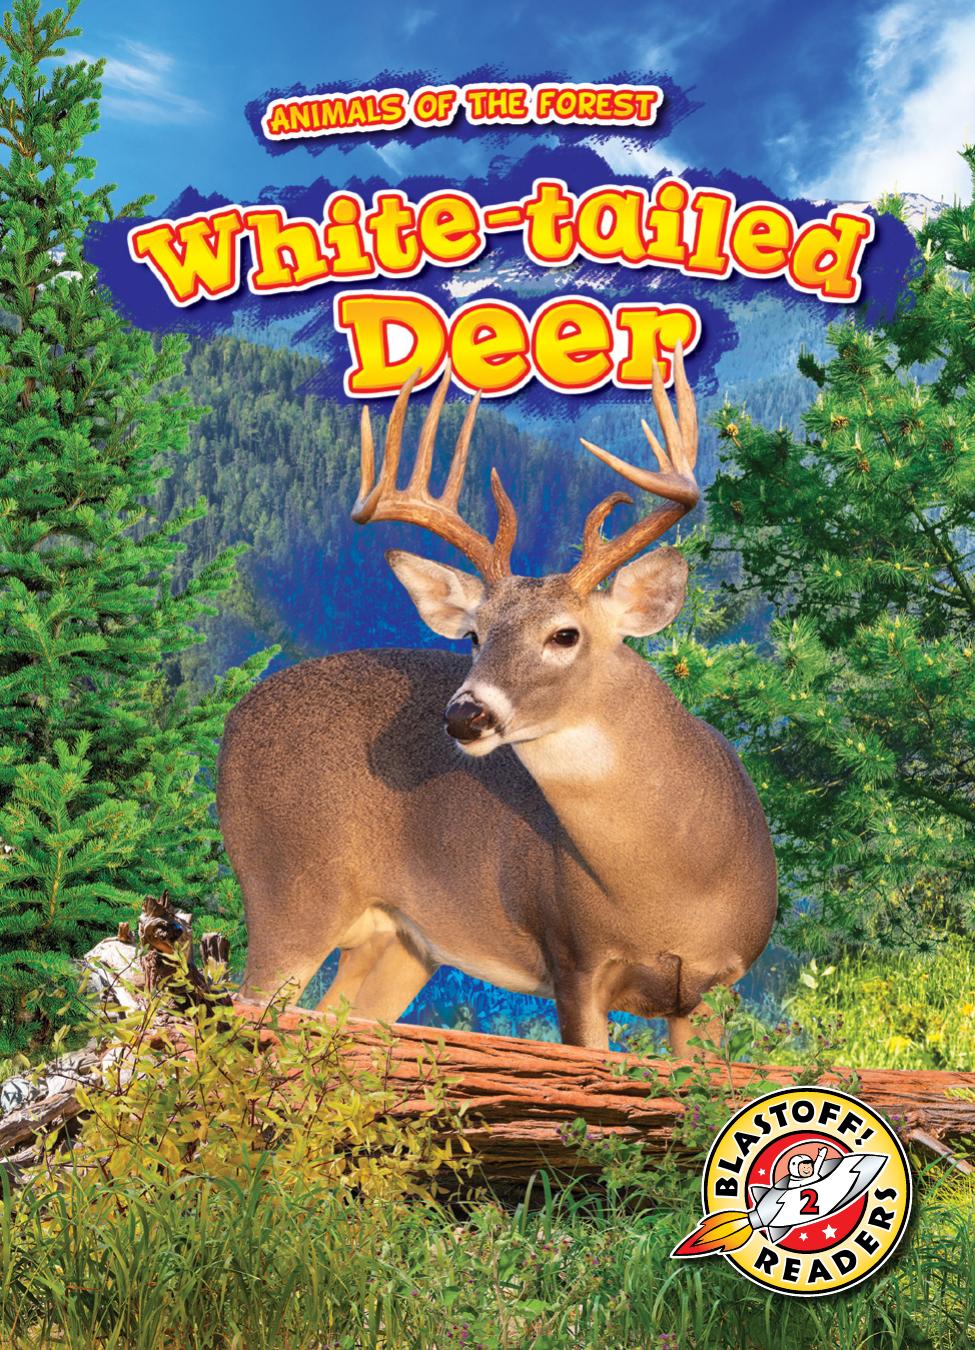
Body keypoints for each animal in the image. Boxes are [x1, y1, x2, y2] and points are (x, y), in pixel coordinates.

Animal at [217, 346, 777, 1054]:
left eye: (565, 634)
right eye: (475, 635)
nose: (465, 715)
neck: (672, 880)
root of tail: (232, 722)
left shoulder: (714, 985)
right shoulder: (573, 959)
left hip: (399, 942)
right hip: (288, 888)